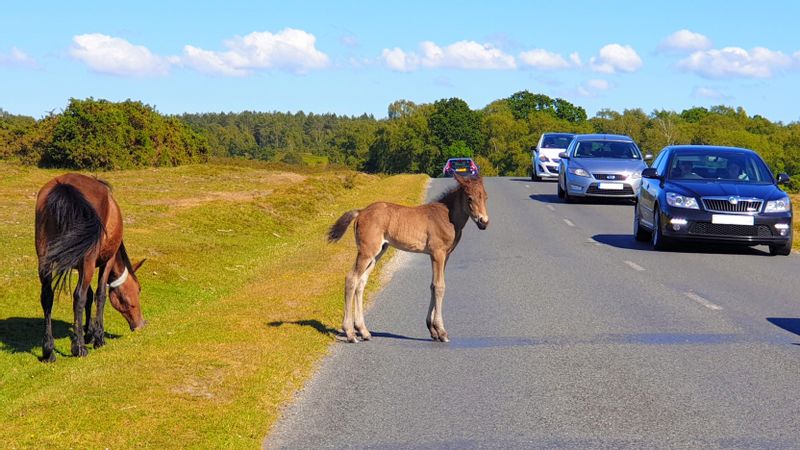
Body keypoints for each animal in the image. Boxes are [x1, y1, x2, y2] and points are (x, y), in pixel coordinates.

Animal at [35, 173, 145, 362]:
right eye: (137, 289)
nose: (140, 324)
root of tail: (64, 186)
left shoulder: (81, 266)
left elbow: (90, 296)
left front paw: (88, 333)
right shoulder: (105, 262)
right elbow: (99, 295)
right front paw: (97, 337)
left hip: (44, 260)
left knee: (47, 297)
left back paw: (48, 350)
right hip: (87, 261)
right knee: (78, 296)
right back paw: (78, 348)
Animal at [324, 174, 488, 342]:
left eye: (485, 197)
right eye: (469, 198)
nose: (483, 222)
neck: (447, 217)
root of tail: (361, 212)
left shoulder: (444, 255)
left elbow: (432, 285)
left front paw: (432, 330)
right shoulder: (438, 253)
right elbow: (439, 286)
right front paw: (441, 332)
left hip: (378, 252)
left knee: (361, 281)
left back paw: (363, 331)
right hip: (367, 251)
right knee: (351, 278)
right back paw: (350, 333)